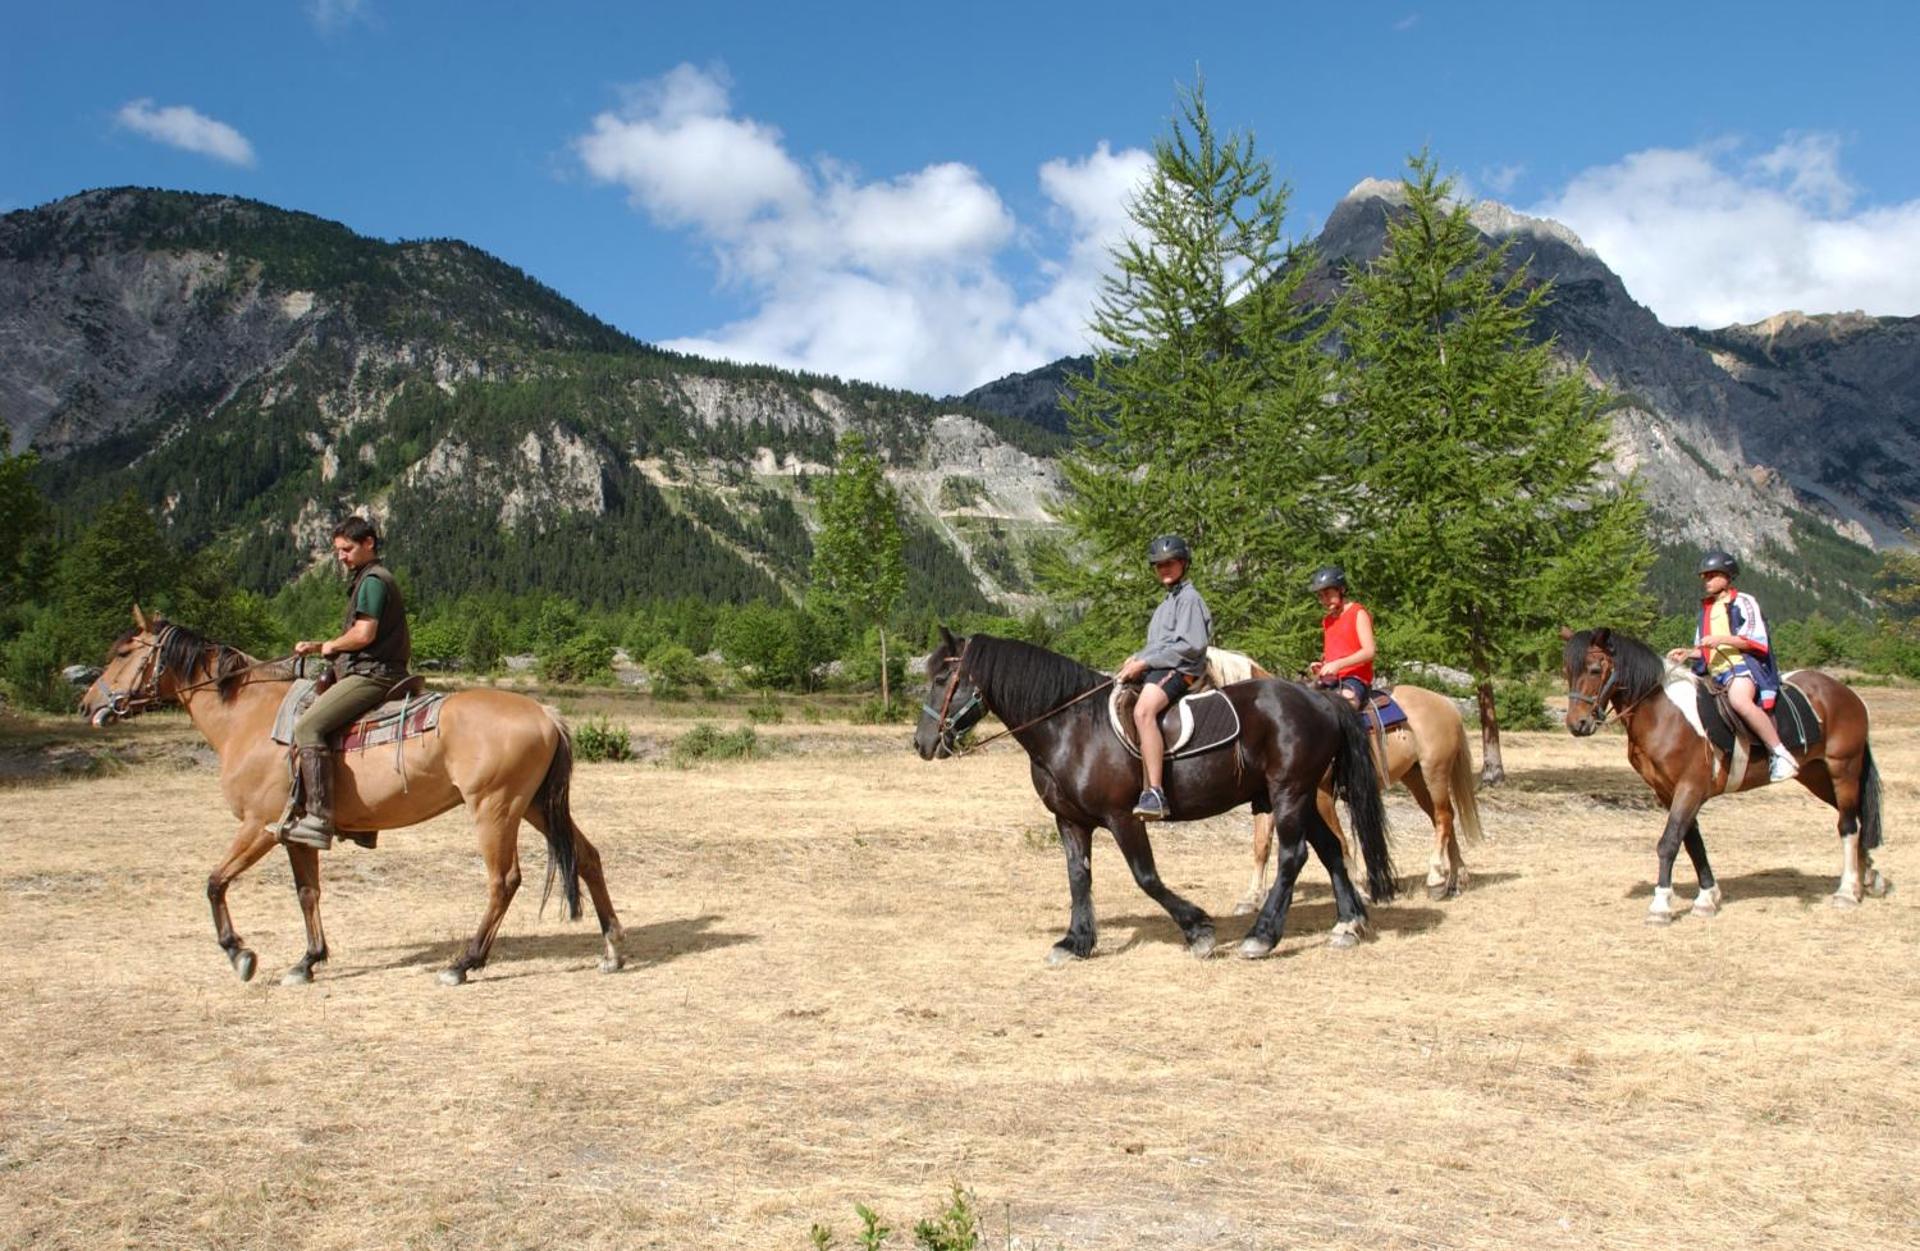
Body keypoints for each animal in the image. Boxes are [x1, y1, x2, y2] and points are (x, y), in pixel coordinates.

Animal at [78, 609, 626, 985]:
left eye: (124, 652)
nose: (87, 704)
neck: (250, 718)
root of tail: (545, 714)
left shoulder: (259, 826)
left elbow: (215, 882)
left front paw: (240, 954)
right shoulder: (294, 831)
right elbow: (307, 893)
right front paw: (307, 960)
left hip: (496, 809)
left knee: (504, 880)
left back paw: (464, 963)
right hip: (535, 805)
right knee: (587, 857)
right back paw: (612, 949)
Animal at [914, 629, 1396, 962]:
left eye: (942, 677)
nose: (921, 743)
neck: (1072, 727)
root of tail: (1319, 700)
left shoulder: (1123, 818)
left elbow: (1146, 877)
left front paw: (1199, 930)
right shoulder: (1070, 821)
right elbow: (1078, 877)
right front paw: (1076, 941)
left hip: (1289, 794)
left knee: (1293, 856)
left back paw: (1261, 936)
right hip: (1302, 796)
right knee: (1330, 849)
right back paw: (1348, 924)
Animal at [1239, 683, 1483, 911]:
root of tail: (1445, 703)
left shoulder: (1320, 796)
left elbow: (1339, 841)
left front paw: (1358, 890)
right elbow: (1261, 844)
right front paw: (1251, 898)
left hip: (1435, 772)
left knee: (1443, 817)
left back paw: (1436, 878)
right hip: (1415, 777)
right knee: (1442, 818)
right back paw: (1455, 879)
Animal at [1561, 626, 1888, 922]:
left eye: (1594, 669)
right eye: (1567, 671)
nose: (1577, 724)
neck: (1663, 714)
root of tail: (1849, 695)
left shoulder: (1689, 788)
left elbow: (1669, 843)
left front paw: (1661, 905)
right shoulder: (1667, 791)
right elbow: (1692, 843)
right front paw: (1707, 898)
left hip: (1843, 770)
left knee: (1847, 825)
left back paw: (1847, 891)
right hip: (1817, 776)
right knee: (1857, 817)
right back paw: (1868, 878)